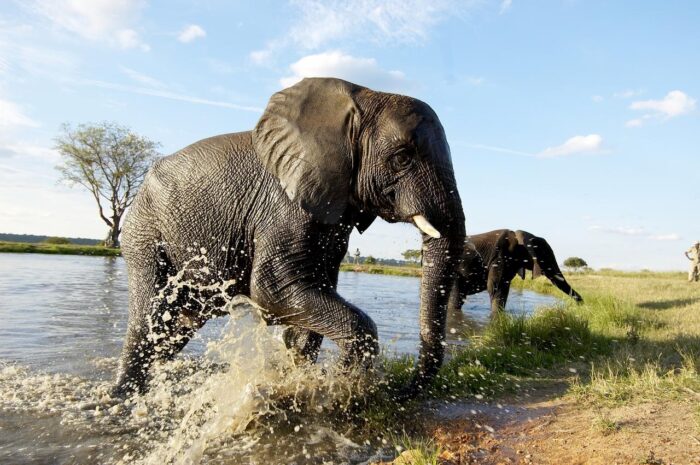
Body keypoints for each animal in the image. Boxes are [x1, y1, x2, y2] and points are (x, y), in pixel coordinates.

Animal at [115, 78, 464, 394]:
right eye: (402, 157)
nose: (402, 390)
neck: (361, 97)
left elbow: (314, 290)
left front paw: (299, 379)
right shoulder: (283, 203)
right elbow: (272, 287)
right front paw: (344, 390)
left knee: (176, 326)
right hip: (144, 231)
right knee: (148, 320)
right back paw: (124, 396)